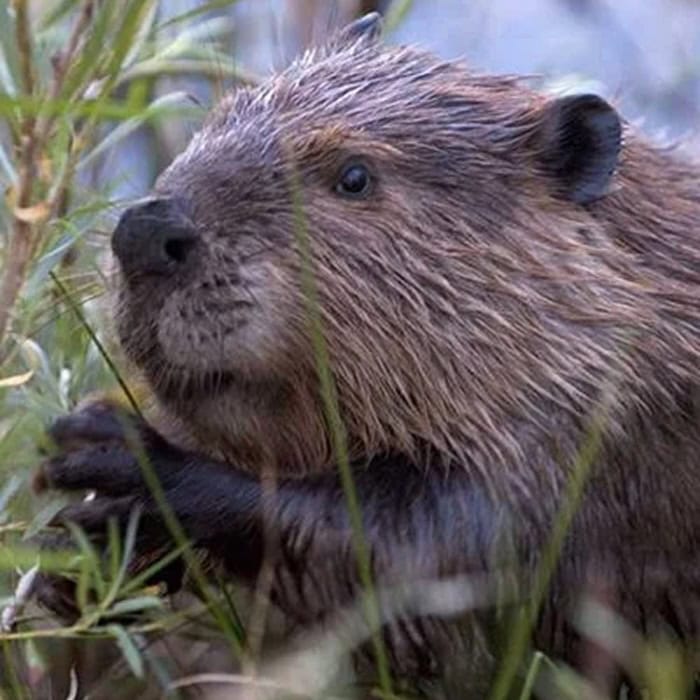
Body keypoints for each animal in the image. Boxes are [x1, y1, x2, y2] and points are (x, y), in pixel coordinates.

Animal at [36, 12, 700, 698]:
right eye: (216, 117)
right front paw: (80, 560)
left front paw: (123, 464)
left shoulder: (592, 440)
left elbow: (405, 558)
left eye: (354, 176)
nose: (145, 231)